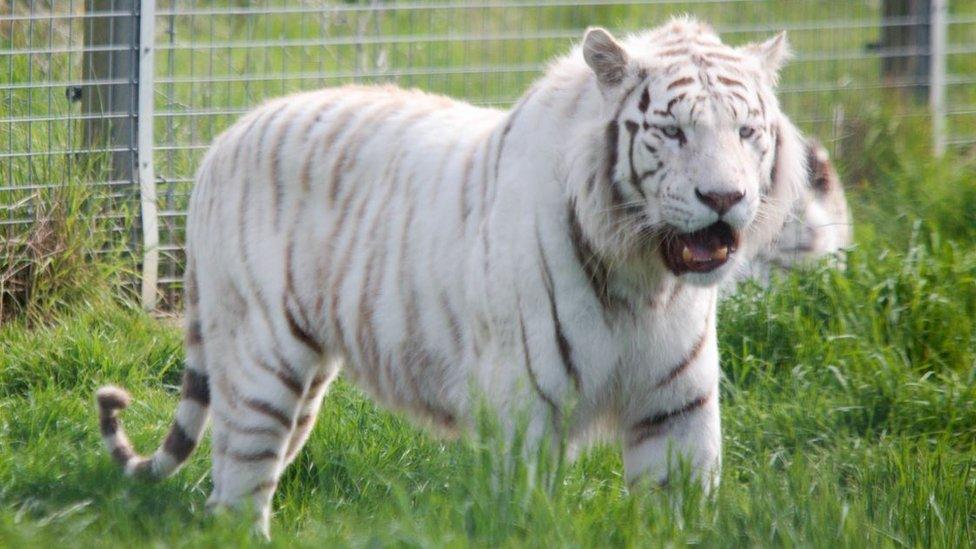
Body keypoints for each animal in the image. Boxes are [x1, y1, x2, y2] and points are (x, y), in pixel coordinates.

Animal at [95, 18, 804, 536]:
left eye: (748, 131)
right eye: (673, 131)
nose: (724, 197)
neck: (644, 276)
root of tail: (223, 140)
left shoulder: (676, 408)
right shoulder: (525, 410)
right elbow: (523, 517)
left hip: (304, 382)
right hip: (259, 361)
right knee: (236, 493)